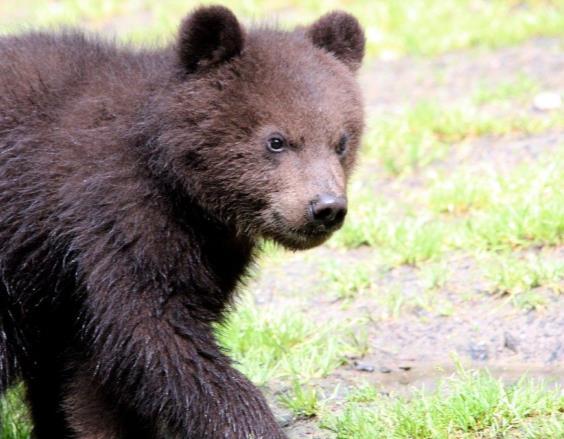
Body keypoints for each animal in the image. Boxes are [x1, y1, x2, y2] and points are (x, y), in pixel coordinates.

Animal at [0, 4, 366, 439]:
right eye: (276, 140)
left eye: (341, 142)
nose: (326, 207)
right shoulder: (117, 220)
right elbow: (159, 334)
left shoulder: (202, 251)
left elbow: (92, 374)